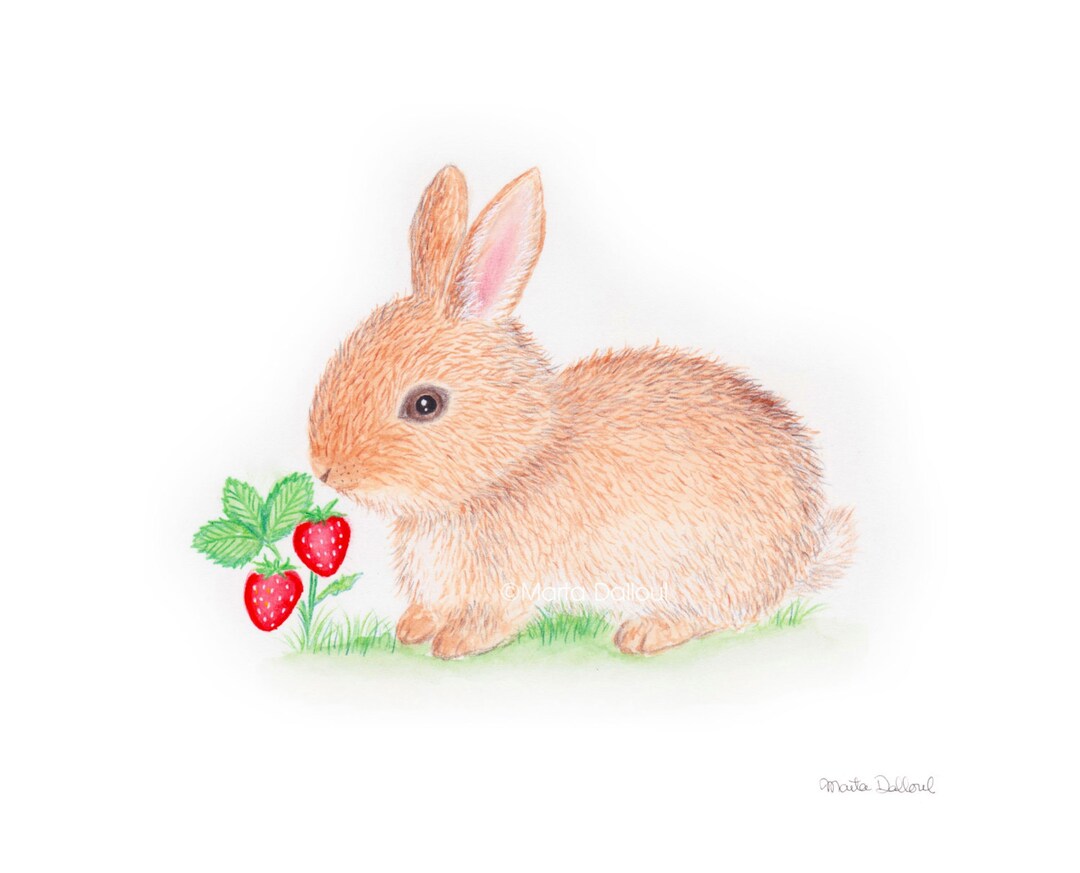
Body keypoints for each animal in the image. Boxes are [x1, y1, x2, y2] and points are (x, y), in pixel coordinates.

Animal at [307, 166, 856, 658]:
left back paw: (645, 633)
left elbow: (494, 618)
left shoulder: (510, 580)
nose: (326, 469)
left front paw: (454, 644)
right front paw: (412, 627)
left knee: (719, 616)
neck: (514, 463)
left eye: (425, 405)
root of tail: (801, 551)